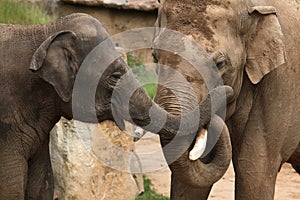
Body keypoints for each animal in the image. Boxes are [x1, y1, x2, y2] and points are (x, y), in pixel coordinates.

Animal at [152, 0, 300, 199]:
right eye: (154, 56)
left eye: (220, 64)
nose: (224, 94)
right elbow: (188, 186)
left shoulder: (281, 83)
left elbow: (253, 170)